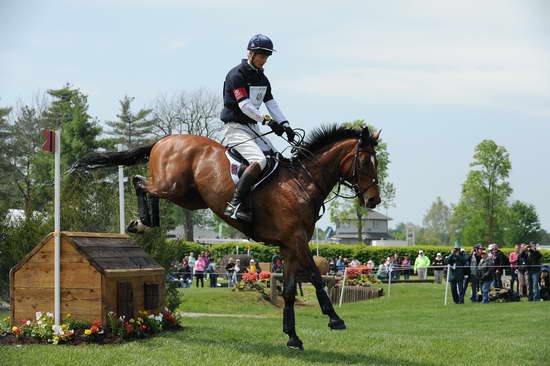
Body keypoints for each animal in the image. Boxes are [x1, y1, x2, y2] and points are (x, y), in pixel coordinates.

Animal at [73, 124, 382, 350]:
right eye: (366, 162)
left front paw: (292, 336)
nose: (373, 200)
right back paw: (144, 223)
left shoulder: (289, 246)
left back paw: (144, 223)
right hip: (171, 185)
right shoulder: (296, 241)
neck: (302, 183)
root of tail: (164, 139)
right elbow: (316, 278)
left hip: (188, 197)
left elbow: (289, 291)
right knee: (140, 183)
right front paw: (335, 319)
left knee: (144, 185)